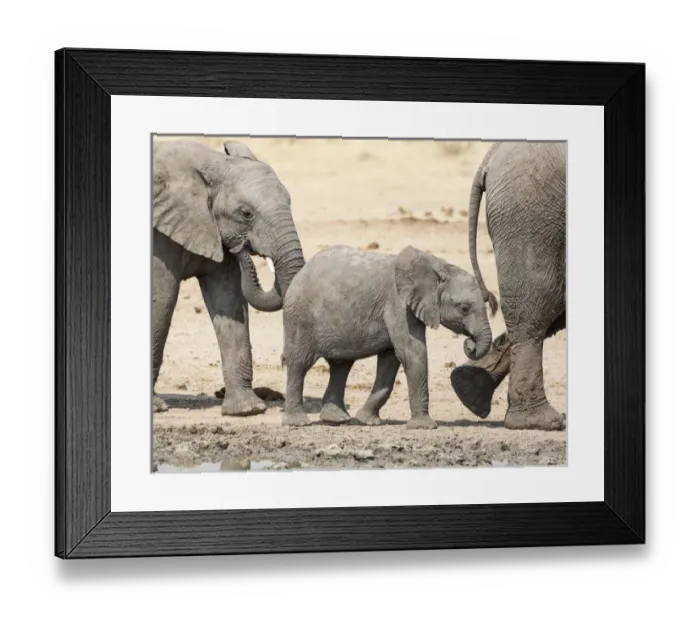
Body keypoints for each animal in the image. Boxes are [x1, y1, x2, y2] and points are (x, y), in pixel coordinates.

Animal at [152, 139, 305, 416]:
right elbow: (162, 298)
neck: (212, 163)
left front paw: (247, 410)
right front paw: (156, 408)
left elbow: (229, 300)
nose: (241, 247)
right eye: (246, 214)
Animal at [280, 245, 493, 429]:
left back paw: (337, 420)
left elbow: (390, 361)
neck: (437, 266)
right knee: (299, 364)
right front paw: (425, 426)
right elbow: (412, 353)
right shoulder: (398, 304)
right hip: (300, 317)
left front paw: (367, 421)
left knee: (340, 366)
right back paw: (298, 423)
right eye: (464, 308)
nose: (470, 344)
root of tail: (299, 274)